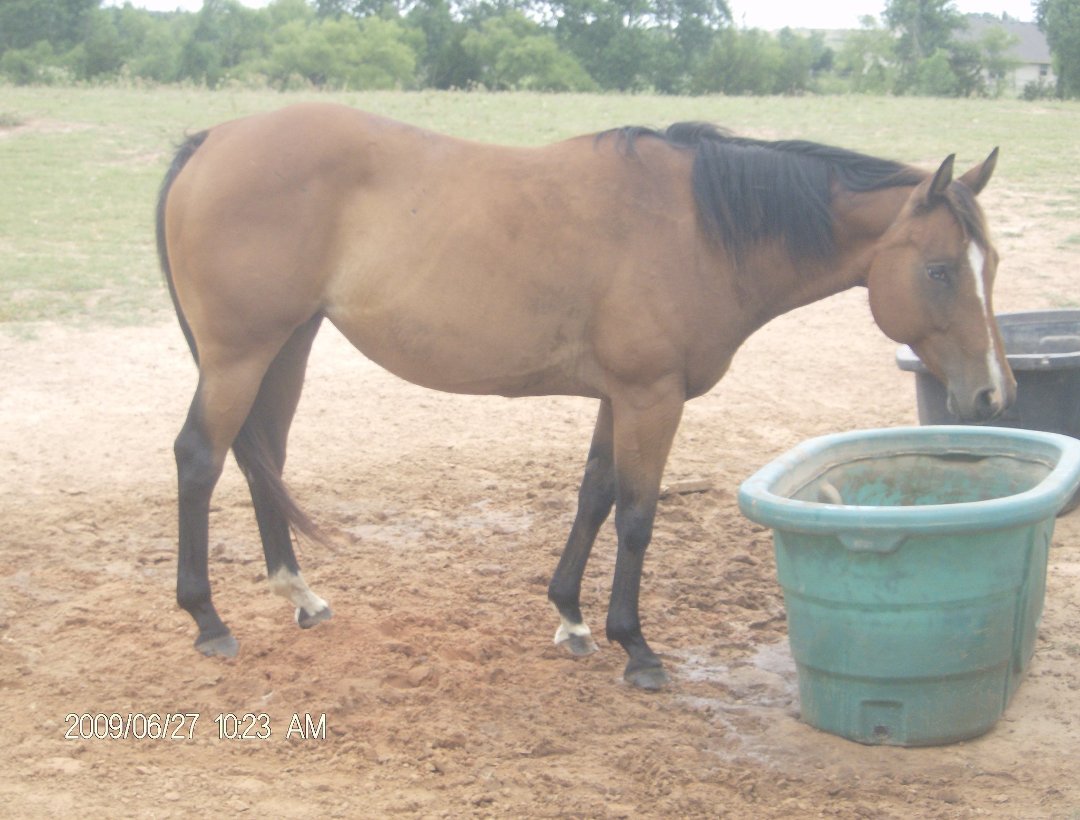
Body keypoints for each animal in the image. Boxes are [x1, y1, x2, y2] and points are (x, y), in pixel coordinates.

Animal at [157, 103, 1014, 690]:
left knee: (262, 456)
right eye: (940, 270)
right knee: (199, 458)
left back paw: (300, 594)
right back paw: (206, 619)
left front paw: (569, 616)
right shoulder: (652, 398)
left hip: (287, 346)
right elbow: (636, 514)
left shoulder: (621, 397)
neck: (699, 229)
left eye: (992, 265)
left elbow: (594, 493)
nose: (992, 395)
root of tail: (213, 140)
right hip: (241, 354)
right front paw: (635, 646)